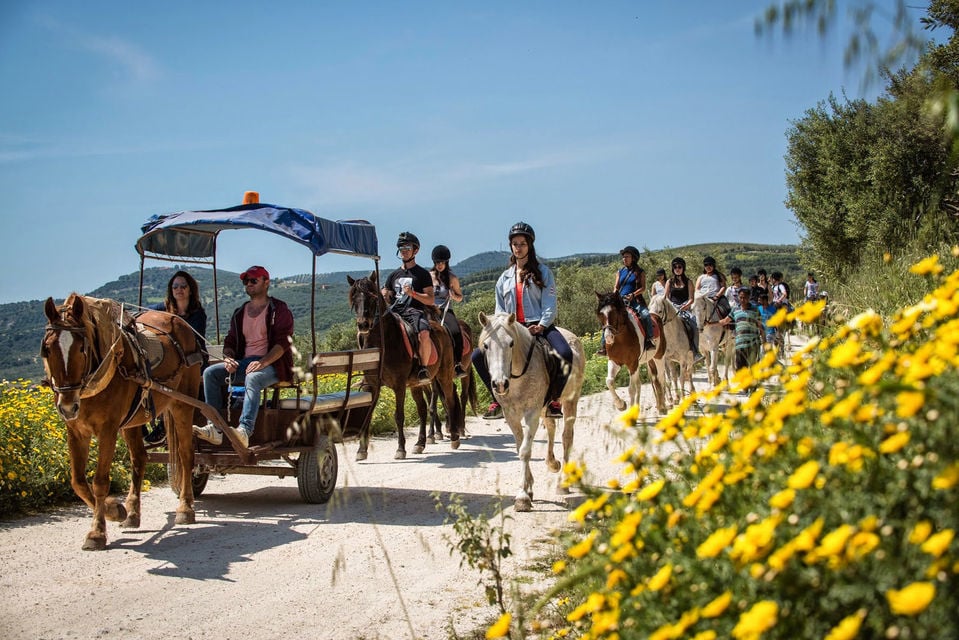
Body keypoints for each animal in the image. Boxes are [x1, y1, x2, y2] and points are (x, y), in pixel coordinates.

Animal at [40, 296, 202, 552]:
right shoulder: (75, 430)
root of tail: (177, 320)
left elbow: (99, 481)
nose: (67, 406)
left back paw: (185, 508)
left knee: (186, 454)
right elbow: (77, 481)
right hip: (134, 419)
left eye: (82, 348)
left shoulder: (108, 429)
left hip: (182, 404)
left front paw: (97, 532)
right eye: (47, 349)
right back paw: (133, 512)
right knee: (139, 459)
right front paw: (115, 510)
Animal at [346, 276, 464, 460]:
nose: (363, 325)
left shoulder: (399, 385)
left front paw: (401, 449)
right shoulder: (371, 385)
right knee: (422, 409)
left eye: (372, 298)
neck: (385, 342)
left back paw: (453, 437)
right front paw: (361, 450)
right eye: (354, 299)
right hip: (417, 384)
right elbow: (368, 414)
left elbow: (399, 416)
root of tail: (442, 328)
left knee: (450, 400)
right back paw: (420, 443)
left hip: (443, 375)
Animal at [478, 312, 584, 512]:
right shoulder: (511, 415)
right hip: (545, 407)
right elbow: (520, 447)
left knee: (567, 437)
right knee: (551, 427)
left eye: (511, 343)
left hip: (570, 400)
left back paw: (563, 483)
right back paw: (552, 463)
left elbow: (525, 451)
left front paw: (522, 497)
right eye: (486, 345)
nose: (500, 384)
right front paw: (528, 487)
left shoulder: (531, 412)